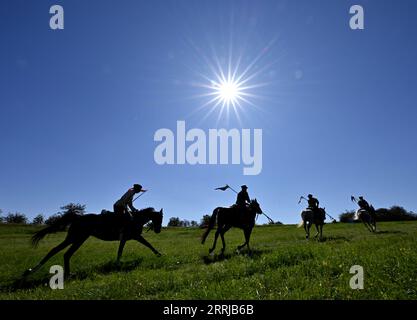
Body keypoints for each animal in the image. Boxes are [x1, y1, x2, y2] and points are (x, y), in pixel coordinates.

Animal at [22, 208, 162, 278]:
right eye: (160, 218)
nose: (158, 230)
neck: (136, 219)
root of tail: (78, 217)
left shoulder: (128, 238)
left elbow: (123, 250)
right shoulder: (134, 236)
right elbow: (146, 245)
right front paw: (159, 254)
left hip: (75, 238)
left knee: (60, 252)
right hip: (77, 238)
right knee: (62, 252)